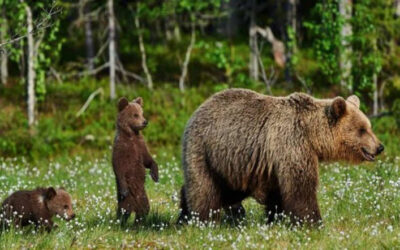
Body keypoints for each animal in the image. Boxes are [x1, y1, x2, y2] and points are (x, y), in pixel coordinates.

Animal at [179, 88, 384, 225]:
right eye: (362, 129)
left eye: (369, 126)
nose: (379, 147)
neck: (311, 135)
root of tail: (198, 109)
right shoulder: (292, 143)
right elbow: (301, 187)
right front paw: (314, 222)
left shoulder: (272, 162)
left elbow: (278, 193)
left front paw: (276, 219)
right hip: (204, 150)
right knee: (204, 188)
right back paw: (201, 220)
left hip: (232, 164)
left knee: (226, 191)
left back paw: (184, 215)